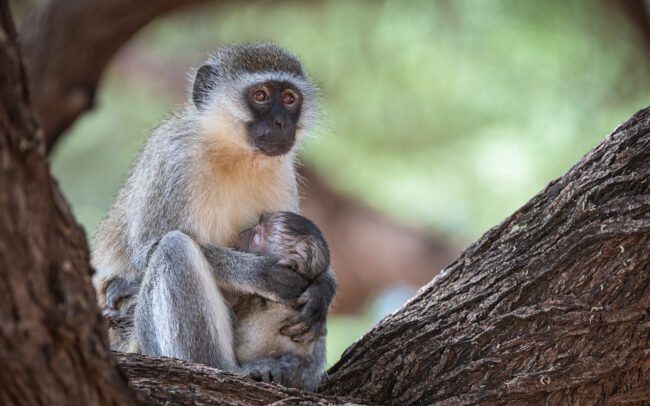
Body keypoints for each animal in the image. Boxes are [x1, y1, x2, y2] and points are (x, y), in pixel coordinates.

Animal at [92, 43, 335, 385]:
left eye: (289, 99)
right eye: (260, 95)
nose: (281, 123)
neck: (234, 152)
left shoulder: (283, 173)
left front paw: (323, 289)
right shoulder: (173, 158)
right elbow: (147, 251)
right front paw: (261, 275)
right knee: (173, 247)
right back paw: (219, 367)